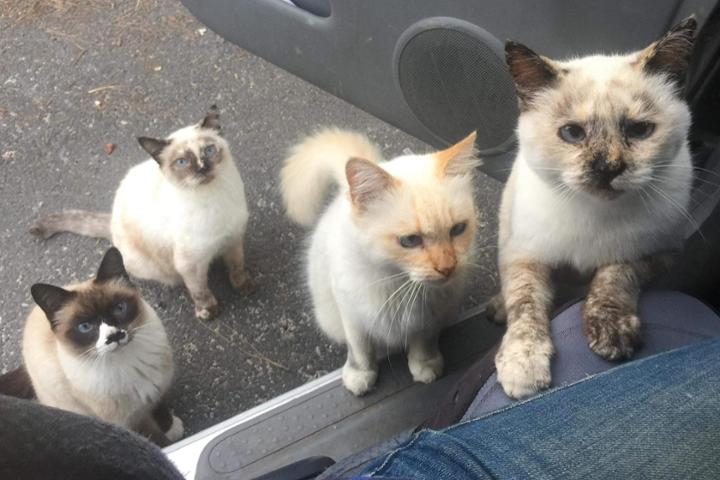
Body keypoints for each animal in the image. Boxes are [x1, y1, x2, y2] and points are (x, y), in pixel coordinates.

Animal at [22, 247, 182, 446]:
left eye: (119, 308)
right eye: (85, 327)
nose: (114, 336)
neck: (126, 362)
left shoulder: (155, 392)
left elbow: (161, 409)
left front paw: (171, 428)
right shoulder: (128, 421)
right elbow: (152, 439)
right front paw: (167, 445)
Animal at [30, 106, 250, 320]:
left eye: (209, 150)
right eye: (182, 162)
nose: (203, 168)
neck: (215, 198)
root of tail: (112, 221)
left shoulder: (233, 239)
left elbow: (237, 267)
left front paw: (245, 286)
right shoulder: (191, 264)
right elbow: (200, 291)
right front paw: (208, 311)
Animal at [281, 128, 480, 395]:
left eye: (457, 229)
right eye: (410, 240)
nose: (447, 268)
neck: (397, 283)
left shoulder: (428, 318)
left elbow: (422, 343)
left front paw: (425, 366)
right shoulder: (353, 316)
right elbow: (360, 350)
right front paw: (360, 376)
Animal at [491, 18, 697, 399]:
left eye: (639, 130)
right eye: (572, 133)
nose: (608, 168)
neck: (595, 215)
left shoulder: (658, 252)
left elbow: (613, 277)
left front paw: (611, 330)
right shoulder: (526, 257)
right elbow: (526, 308)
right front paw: (523, 366)